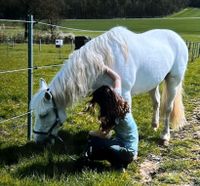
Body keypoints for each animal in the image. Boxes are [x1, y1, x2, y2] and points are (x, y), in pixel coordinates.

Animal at [30, 26, 188, 145]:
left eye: (44, 114)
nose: (37, 140)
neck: (103, 60)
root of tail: (177, 38)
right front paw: (105, 134)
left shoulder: (123, 94)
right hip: (153, 83)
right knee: (156, 102)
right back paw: (154, 125)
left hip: (174, 81)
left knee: (168, 108)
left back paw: (165, 135)